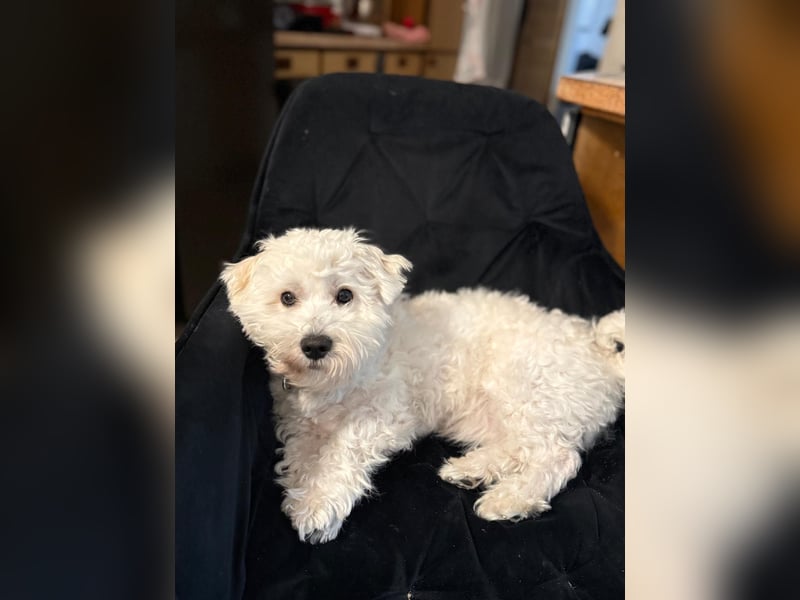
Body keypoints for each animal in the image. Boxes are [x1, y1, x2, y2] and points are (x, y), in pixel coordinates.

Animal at [221, 228, 625, 543]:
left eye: (345, 295)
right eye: (287, 298)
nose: (316, 344)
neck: (335, 381)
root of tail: (600, 352)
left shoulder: (386, 415)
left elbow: (342, 451)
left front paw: (320, 505)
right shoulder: (299, 423)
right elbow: (301, 454)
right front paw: (305, 491)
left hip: (523, 386)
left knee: (557, 457)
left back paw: (508, 500)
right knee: (515, 449)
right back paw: (469, 470)